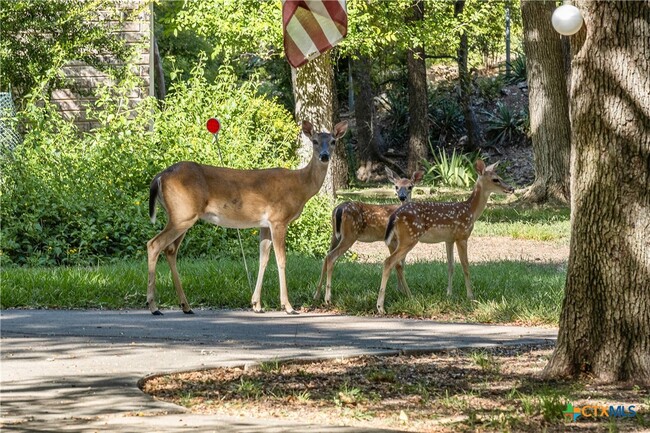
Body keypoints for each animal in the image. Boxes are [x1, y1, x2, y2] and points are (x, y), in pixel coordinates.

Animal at [147, 120, 350, 316]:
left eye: (333, 141)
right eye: (315, 141)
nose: (324, 156)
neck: (300, 186)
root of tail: (159, 177)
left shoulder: (264, 224)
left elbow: (263, 259)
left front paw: (256, 304)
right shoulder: (278, 219)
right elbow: (281, 260)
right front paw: (288, 306)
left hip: (182, 216)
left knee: (170, 250)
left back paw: (185, 306)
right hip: (183, 214)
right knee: (154, 244)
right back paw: (154, 306)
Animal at [316, 165, 426, 304]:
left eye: (410, 186)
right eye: (396, 186)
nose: (402, 196)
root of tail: (338, 209)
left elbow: (401, 264)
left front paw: (400, 291)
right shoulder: (392, 240)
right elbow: (398, 265)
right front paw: (409, 295)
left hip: (335, 235)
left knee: (326, 256)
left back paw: (316, 294)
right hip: (349, 235)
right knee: (331, 257)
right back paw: (327, 298)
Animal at [374, 160, 512, 312]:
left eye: (499, 176)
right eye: (495, 179)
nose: (511, 188)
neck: (471, 211)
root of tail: (396, 214)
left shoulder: (449, 239)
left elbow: (450, 266)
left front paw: (449, 294)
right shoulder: (462, 236)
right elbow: (466, 266)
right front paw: (471, 296)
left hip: (402, 238)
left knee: (396, 263)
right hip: (410, 237)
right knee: (389, 261)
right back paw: (381, 306)